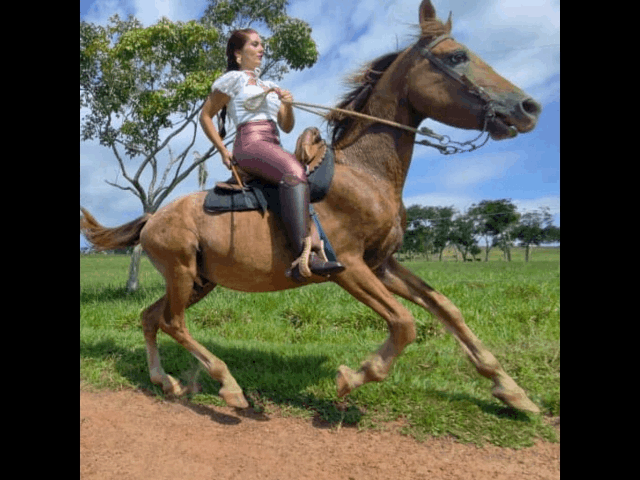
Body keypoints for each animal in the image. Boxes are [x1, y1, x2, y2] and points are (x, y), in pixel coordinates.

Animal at [80, 0, 542, 414]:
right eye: (456, 56)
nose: (528, 107)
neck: (366, 174)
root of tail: (152, 218)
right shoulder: (349, 267)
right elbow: (404, 325)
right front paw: (352, 377)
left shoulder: (382, 264)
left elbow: (447, 309)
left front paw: (512, 392)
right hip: (181, 273)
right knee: (172, 322)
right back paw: (230, 387)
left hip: (200, 280)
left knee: (150, 317)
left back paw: (167, 381)